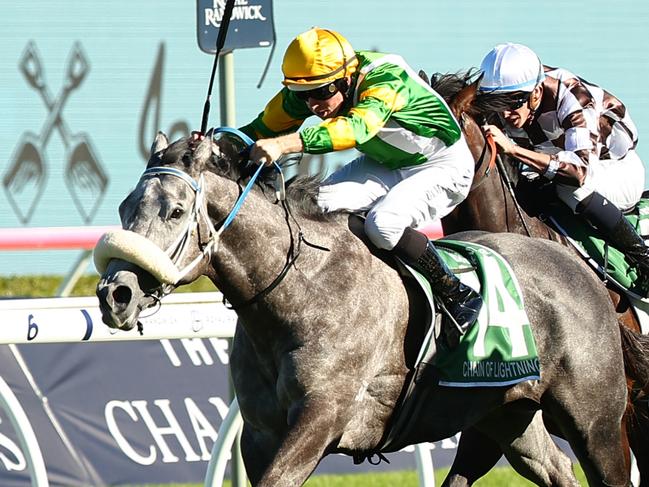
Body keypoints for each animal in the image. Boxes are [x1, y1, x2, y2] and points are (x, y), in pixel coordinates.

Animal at [92, 132, 648, 486]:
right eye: (124, 207)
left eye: (175, 211)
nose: (116, 294)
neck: (299, 294)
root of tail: (583, 272)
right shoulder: (261, 434)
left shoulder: (320, 421)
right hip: (504, 415)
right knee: (554, 468)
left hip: (595, 424)